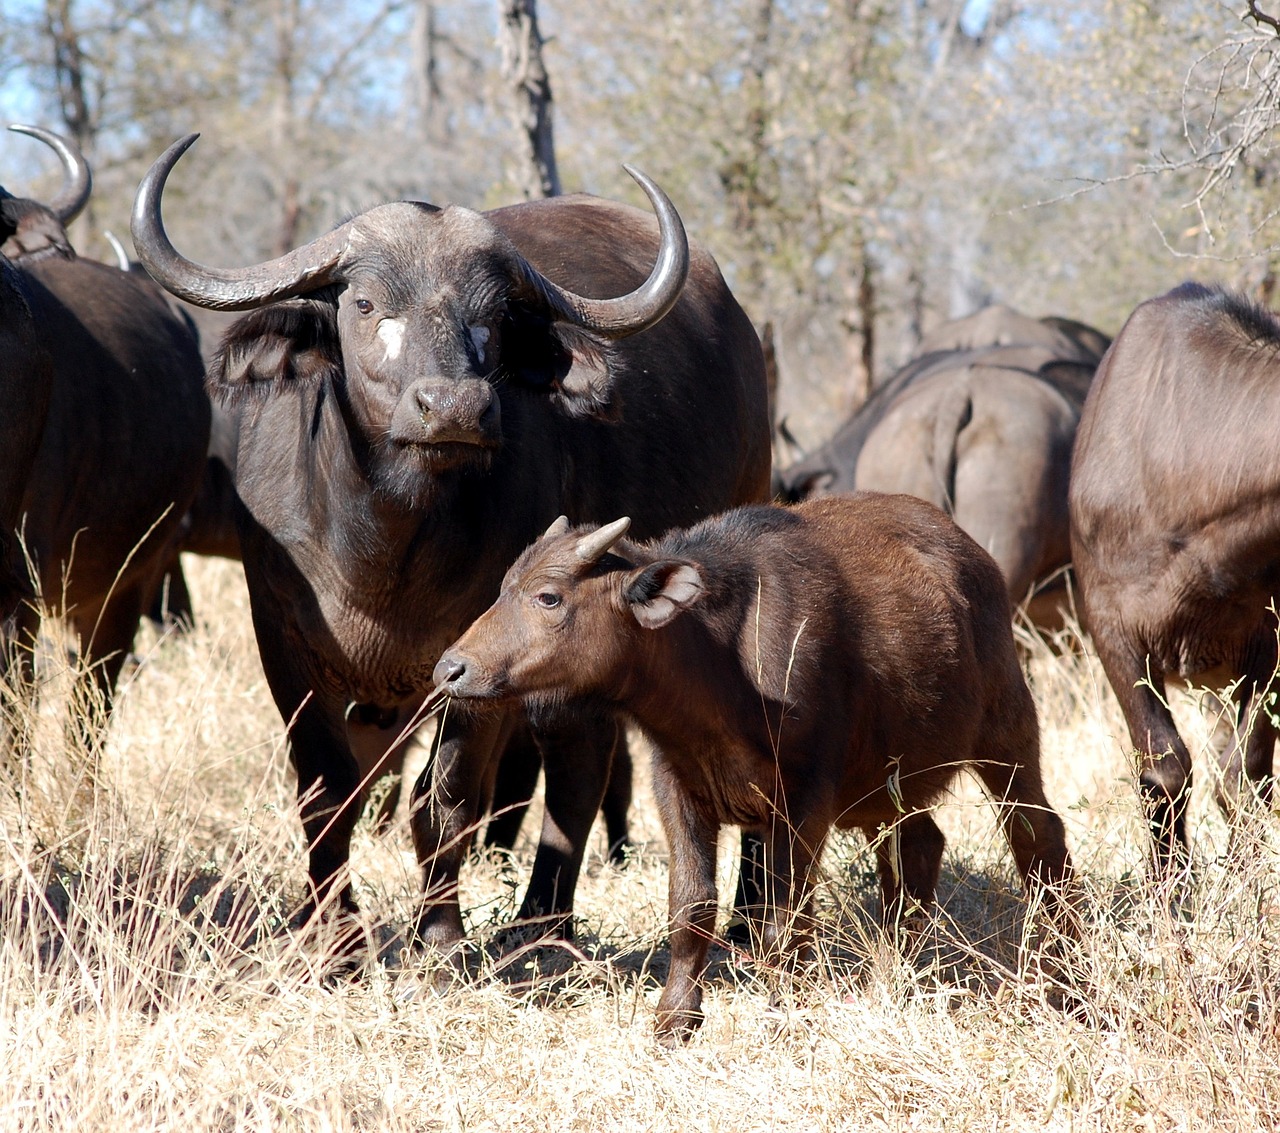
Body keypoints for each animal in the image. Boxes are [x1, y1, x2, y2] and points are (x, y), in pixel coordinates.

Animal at [129, 132, 768, 947]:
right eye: (365, 303)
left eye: (492, 315)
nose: (456, 407)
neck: (382, 544)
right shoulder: (282, 640)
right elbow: (326, 794)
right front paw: (334, 937)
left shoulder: (484, 657)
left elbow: (448, 798)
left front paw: (439, 938)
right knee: (581, 753)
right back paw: (542, 924)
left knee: (592, 758)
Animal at [430, 494, 1070, 1044]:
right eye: (503, 588)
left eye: (549, 597)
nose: (450, 669)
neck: (717, 667)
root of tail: (974, 558)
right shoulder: (677, 788)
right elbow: (691, 906)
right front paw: (675, 1022)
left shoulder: (805, 800)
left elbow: (785, 912)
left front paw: (784, 1009)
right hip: (892, 784)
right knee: (917, 847)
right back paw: (899, 965)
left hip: (1007, 729)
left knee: (1036, 834)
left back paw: (1061, 974)